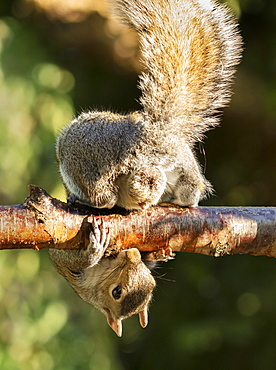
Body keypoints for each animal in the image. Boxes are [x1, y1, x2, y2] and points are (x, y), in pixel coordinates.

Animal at [49, 0, 242, 336]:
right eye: (117, 291)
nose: (133, 257)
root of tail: (151, 138)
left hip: (79, 157)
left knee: (103, 199)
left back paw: (84, 200)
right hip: (183, 177)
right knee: (186, 196)